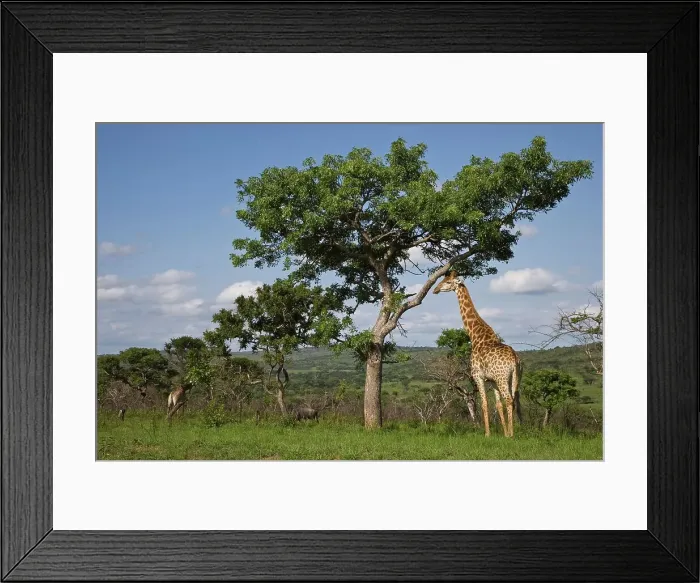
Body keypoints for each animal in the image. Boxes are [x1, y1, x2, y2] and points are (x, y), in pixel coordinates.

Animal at [433, 271, 523, 437]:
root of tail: (515, 359)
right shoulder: (492, 380)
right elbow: (498, 404)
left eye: (448, 282)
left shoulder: (477, 376)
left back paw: (513, 435)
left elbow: (485, 403)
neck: (475, 335)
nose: (435, 289)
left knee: (509, 400)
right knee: (514, 400)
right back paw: (514, 431)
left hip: (503, 378)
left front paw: (488, 434)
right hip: (514, 377)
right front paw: (504, 434)